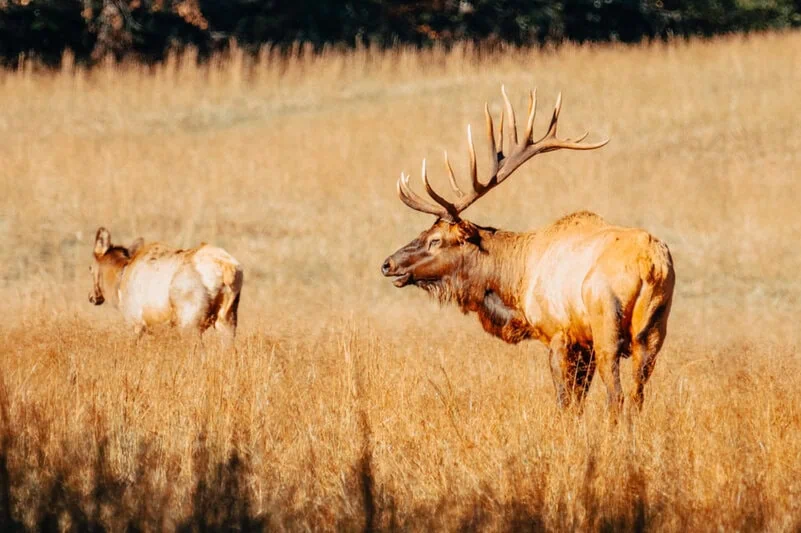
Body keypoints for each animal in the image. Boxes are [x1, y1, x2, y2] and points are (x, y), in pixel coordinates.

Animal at [88, 225, 244, 344]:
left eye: (90, 268)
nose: (91, 296)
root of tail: (227, 268)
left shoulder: (136, 323)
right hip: (228, 320)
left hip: (190, 323)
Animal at [382, 86, 676, 416]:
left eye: (435, 240)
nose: (388, 263)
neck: (515, 287)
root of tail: (651, 267)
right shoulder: (583, 341)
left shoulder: (560, 333)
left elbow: (566, 402)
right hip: (653, 331)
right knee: (637, 397)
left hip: (606, 322)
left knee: (617, 396)